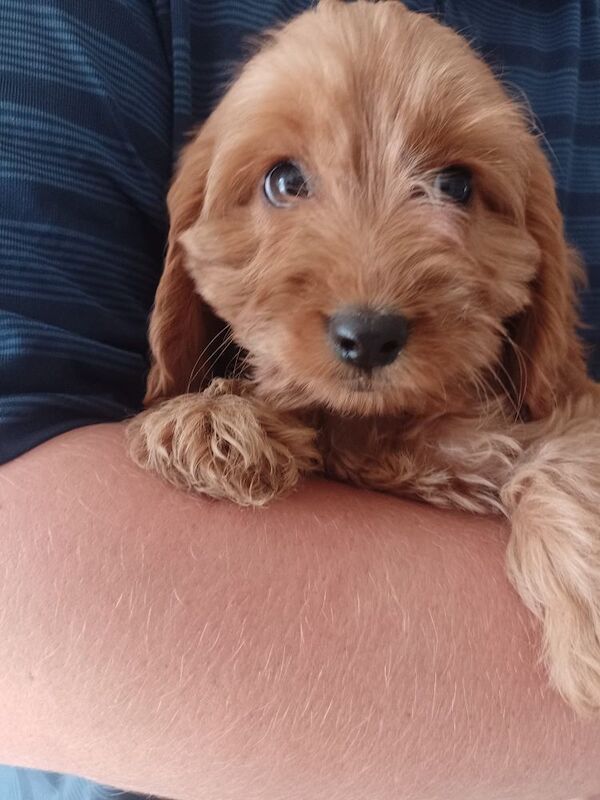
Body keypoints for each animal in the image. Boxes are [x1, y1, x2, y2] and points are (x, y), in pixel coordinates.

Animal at [129, 0, 600, 712]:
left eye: (454, 184)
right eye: (284, 181)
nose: (370, 335)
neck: (381, 427)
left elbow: (561, 458)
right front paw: (206, 420)